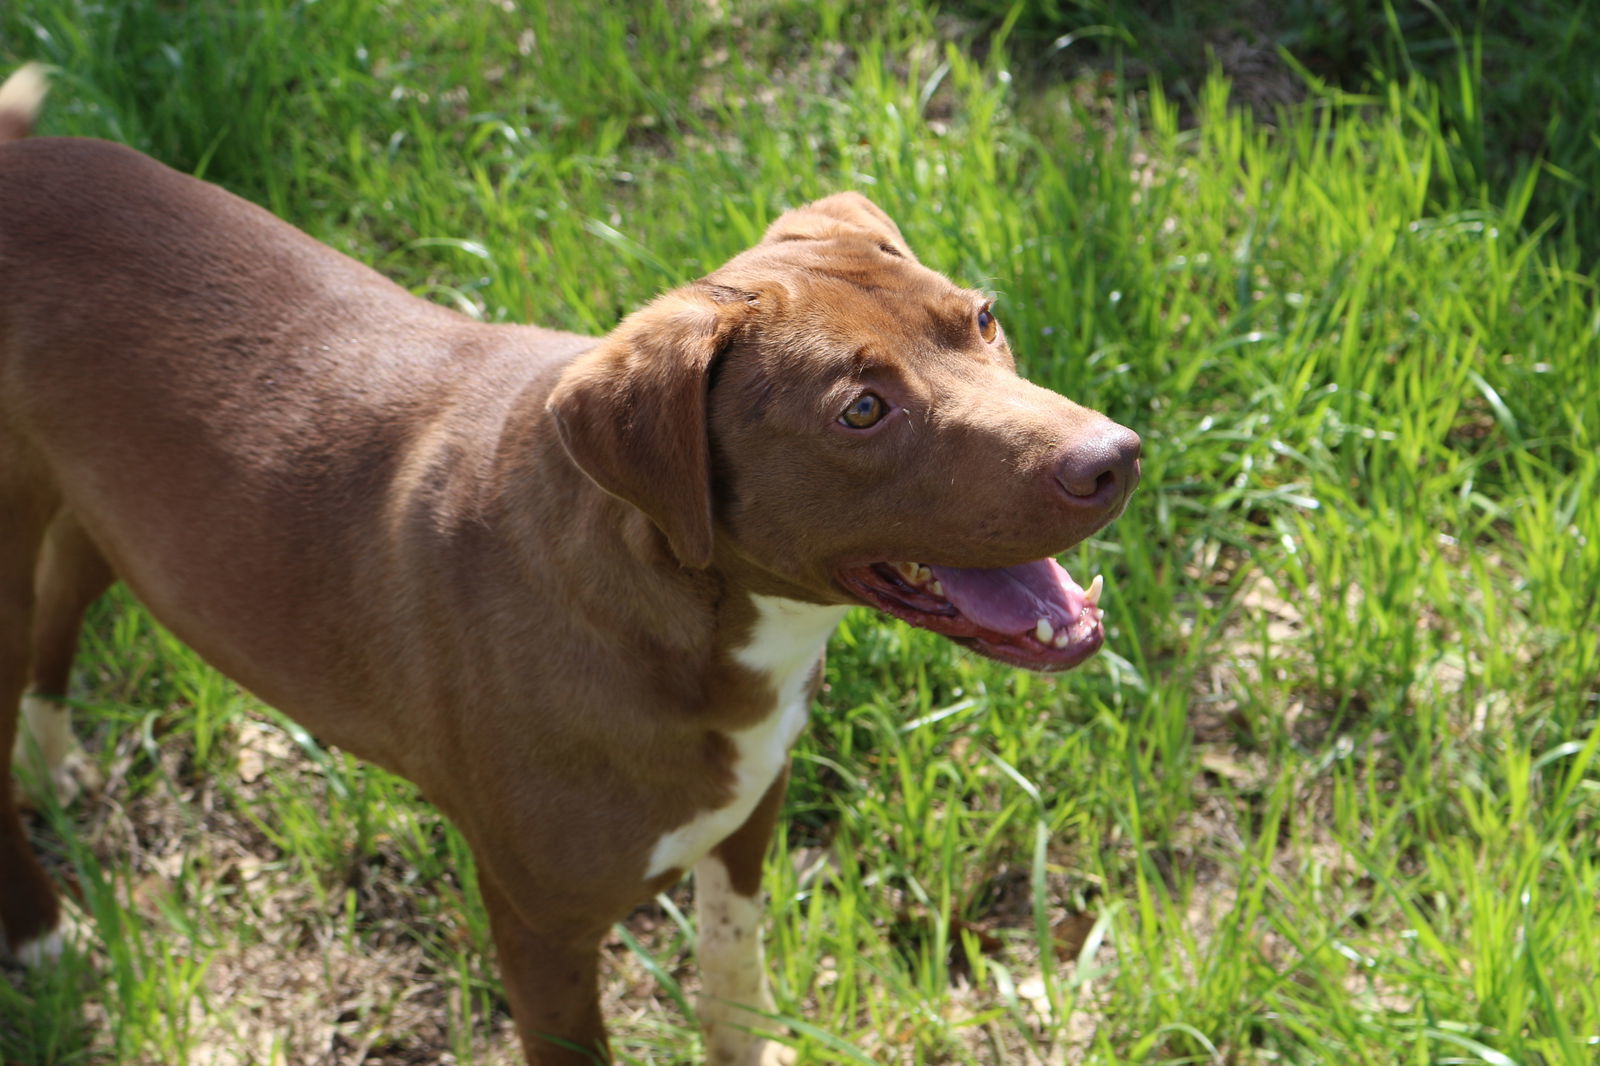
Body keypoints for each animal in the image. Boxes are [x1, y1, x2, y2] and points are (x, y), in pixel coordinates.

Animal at [6, 68, 1145, 1062]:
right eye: (861, 410)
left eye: (982, 316)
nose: (1116, 456)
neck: (686, 620)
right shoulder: (541, 928)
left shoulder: (749, 815)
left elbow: (733, 983)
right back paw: (41, 933)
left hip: (112, 512)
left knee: (60, 601)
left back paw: (53, 768)